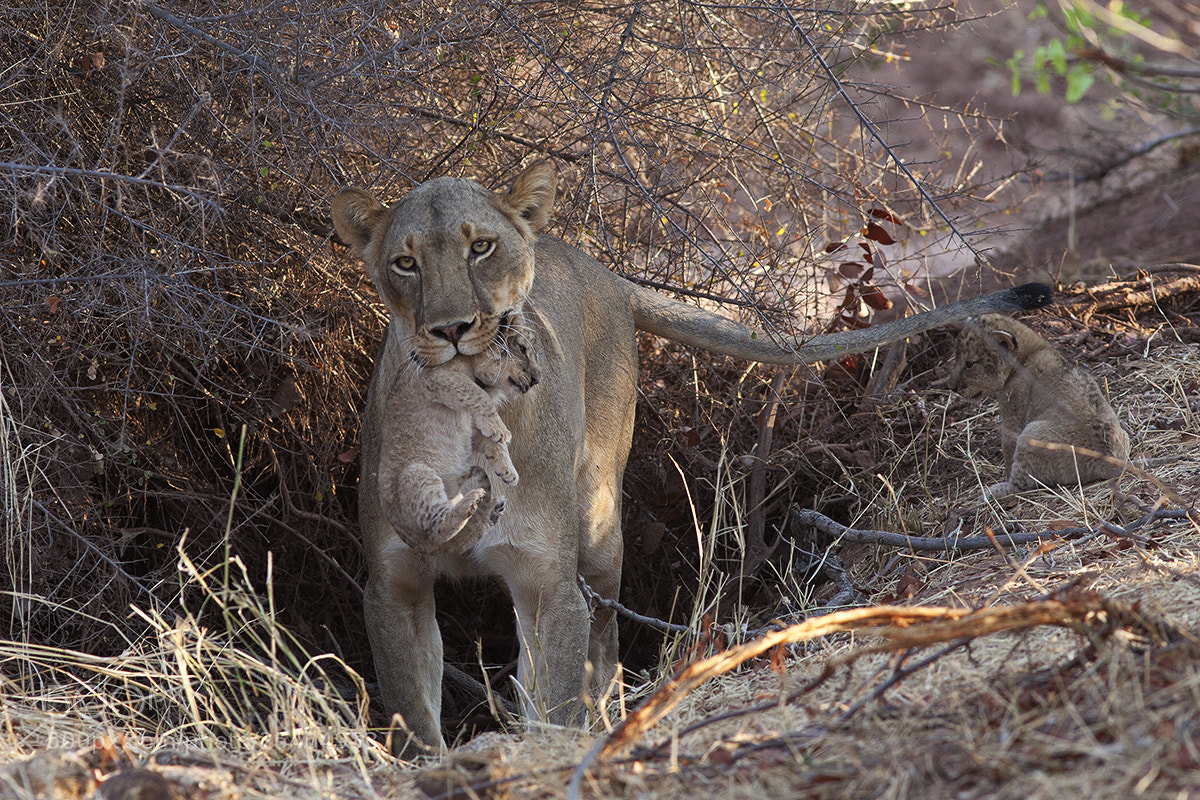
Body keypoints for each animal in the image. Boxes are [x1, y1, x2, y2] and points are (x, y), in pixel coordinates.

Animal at [376, 316, 538, 553]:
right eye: (523, 348)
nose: (537, 379)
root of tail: (410, 540)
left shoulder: (470, 427)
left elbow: (490, 440)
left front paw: (508, 471)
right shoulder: (437, 378)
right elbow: (479, 396)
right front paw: (501, 431)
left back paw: (489, 511)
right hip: (416, 475)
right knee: (436, 528)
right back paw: (472, 503)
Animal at [947, 313, 1129, 499]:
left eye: (969, 364)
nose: (951, 386)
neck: (1030, 351)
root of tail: (1109, 459)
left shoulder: (1014, 403)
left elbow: (1008, 445)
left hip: (1030, 435)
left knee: (1020, 485)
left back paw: (993, 491)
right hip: (1123, 434)